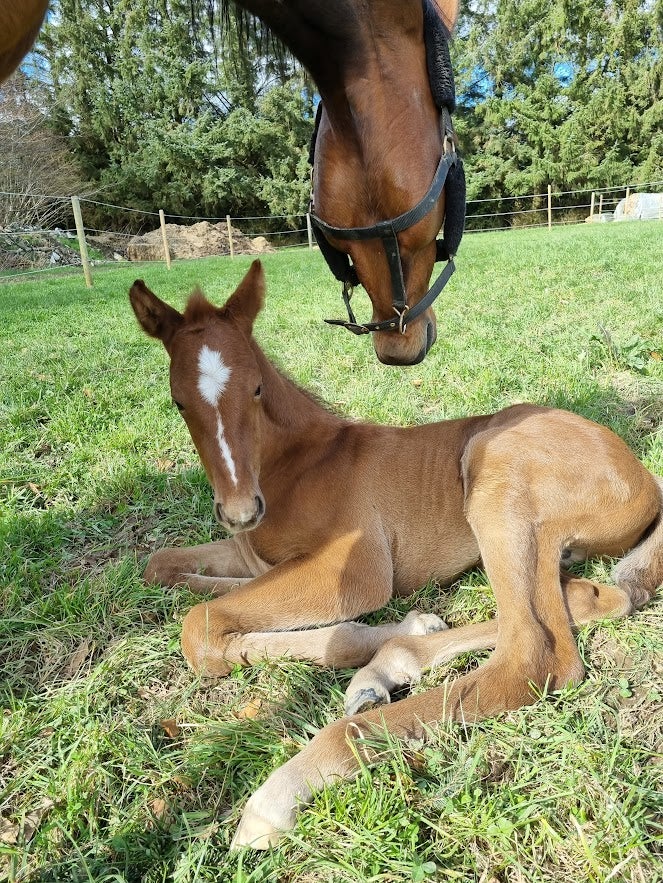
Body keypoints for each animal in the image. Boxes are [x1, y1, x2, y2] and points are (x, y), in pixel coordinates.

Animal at [131, 262, 663, 848]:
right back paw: (387, 665)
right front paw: (395, 630)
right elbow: (165, 570)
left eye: (254, 389)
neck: (301, 462)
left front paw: (360, 638)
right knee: (585, 598)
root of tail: (644, 476)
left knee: (535, 653)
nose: (240, 509)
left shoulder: (357, 570)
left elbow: (204, 624)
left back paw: (283, 789)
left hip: (494, 467)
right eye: (179, 401)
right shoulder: (251, 555)